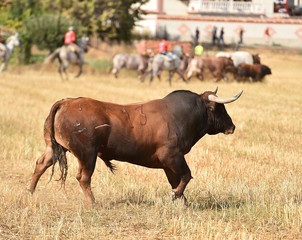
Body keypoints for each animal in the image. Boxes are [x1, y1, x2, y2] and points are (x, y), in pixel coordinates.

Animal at [27, 88, 242, 204]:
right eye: (220, 108)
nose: (232, 126)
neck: (179, 115)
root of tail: (67, 102)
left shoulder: (168, 164)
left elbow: (177, 181)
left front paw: (183, 202)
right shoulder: (172, 157)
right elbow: (186, 176)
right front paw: (175, 197)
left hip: (55, 147)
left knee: (41, 163)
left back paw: (29, 191)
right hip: (87, 154)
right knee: (84, 178)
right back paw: (93, 203)